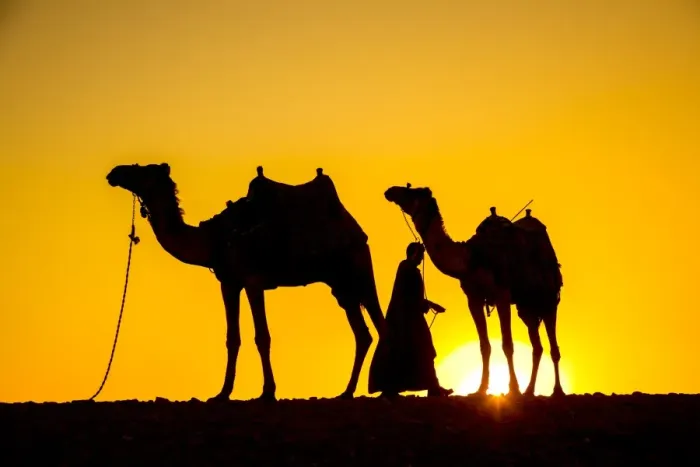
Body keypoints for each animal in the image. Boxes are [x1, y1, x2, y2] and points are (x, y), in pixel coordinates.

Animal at [106, 163, 386, 402]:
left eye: (143, 169)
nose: (114, 173)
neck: (214, 239)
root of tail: (354, 228)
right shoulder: (229, 282)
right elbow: (232, 338)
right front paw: (222, 393)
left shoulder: (253, 280)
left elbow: (262, 336)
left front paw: (268, 392)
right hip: (341, 285)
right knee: (363, 334)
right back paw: (346, 392)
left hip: (358, 267)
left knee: (379, 322)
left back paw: (381, 390)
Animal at [384, 184, 564, 397]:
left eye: (412, 191)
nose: (390, 191)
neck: (471, 259)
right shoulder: (473, 298)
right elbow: (484, 345)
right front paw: (481, 389)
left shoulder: (502, 295)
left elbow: (507, 344)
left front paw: (512, 389)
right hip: (526, 306)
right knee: (537, 346)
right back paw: (529, 391)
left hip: (549, 300)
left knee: (553, 347)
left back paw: (557, 391)